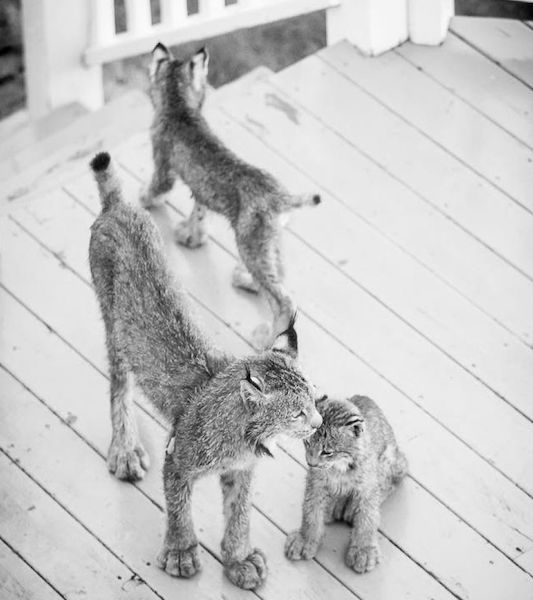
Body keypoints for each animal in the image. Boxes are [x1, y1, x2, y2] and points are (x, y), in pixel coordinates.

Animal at [88, 151, 320, 592]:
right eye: (298, 412)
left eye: (316, 401)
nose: (317, 424)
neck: (245, 435)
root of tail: (118, 208)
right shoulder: (178, 459)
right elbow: (180, 509)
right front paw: (181, 553)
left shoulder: (241, 470)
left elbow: (239, 514)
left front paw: (239, 559)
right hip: (114, 324)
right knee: (119, 383)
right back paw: (125, 449)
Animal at [141, 43, 320, 342]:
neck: (179, 105)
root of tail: (281, 195)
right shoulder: (201, 191)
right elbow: (198, 212)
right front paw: (193, 237)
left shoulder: (163, 165)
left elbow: (156, 188)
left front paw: (143, 199)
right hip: (269, 240)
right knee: (279, 274)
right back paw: (248, 282)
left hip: (249, 243)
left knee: (284, 299)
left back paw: (266, 337)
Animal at [284, 396, 406, 576]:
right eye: (307, 443)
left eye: (327, 452)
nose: (310, 463)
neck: (339, 467)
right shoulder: (315, 483)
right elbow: (310, 512)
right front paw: (305, 539)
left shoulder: (368, 488)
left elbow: (368, 517)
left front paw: (363, 550)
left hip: (392, 459)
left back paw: (349, 507)